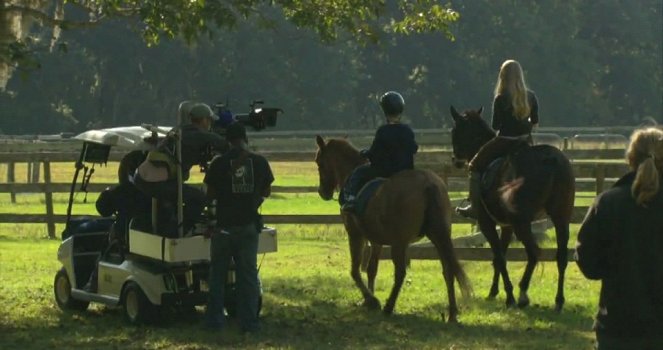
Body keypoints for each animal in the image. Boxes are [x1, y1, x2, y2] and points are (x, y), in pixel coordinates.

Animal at [314, 135, 470, 322]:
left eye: (319, 162)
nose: (322, 192)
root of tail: (428, 184)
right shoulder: (375, 240)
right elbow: (372, 269)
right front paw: (368, 300)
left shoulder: (355, 234)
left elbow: (355, 271)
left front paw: (371, 300)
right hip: (439, 237)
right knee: (448, 270)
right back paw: (452, 313)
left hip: (400, 243)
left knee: (401, 273)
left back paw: (389, 306)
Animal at [452, 106, 576, 312]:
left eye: (455, 132)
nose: (455, 160)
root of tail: (551, 160)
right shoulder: (507, 226)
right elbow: (498, 258)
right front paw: (493, 291)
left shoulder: (488, 224)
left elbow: (500, 257)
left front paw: (508, 295)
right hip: (561, 218)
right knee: (561, 257)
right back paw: (558, 300)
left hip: (522, 223)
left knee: (534, 252)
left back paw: (523, 294)